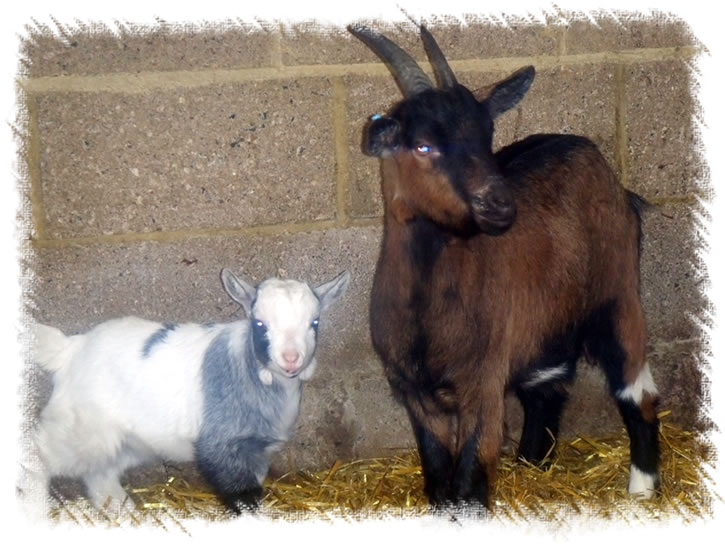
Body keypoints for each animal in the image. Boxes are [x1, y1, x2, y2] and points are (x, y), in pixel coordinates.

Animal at [30, 267, 350, 514]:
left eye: (314, 323)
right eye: (260, 324)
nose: (291, 358)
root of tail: (70, 349)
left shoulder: (257, 450)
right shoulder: (221, 447)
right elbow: (242, 499)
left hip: (123, 440)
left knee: (100, 475)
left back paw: (124, 512)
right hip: (79, 428)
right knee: (39, 456)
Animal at [349, 24, 659, 510]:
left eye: (486, 135)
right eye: (422, 145)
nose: (498, 205)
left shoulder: (482, 382)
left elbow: (469, 483)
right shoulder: (415, 394)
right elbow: (438, 480)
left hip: (619, 293)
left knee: (637, 392)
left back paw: (641, 491)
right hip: (547, 321)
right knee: (548, 387)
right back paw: (533, 464)